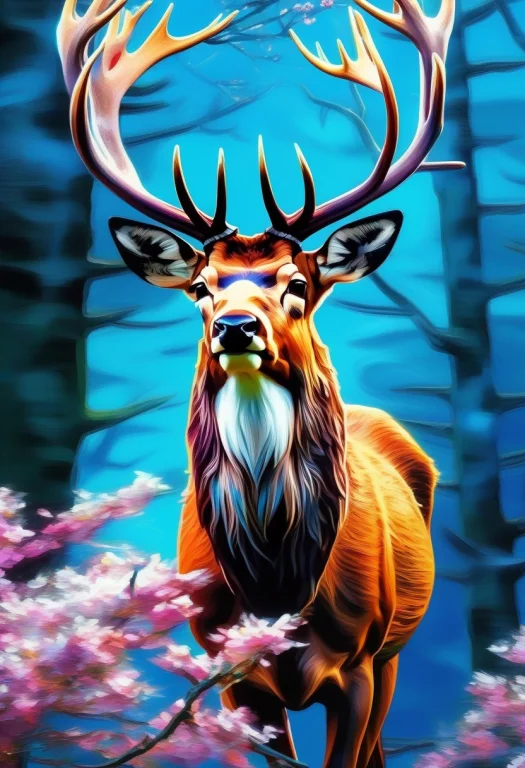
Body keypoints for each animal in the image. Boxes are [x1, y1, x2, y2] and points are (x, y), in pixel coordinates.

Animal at [58, 1, 462, 766]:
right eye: (201, 287)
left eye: (297, 283)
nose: (236, 326)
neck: (277, 581)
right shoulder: (230, 678)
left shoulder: (358, 667)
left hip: (395, 649)